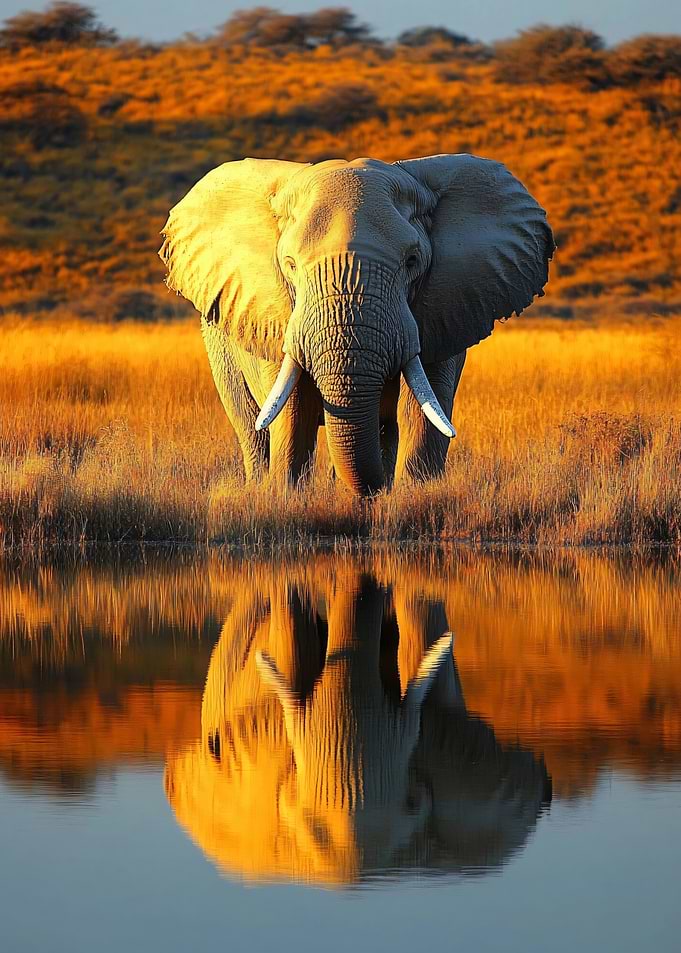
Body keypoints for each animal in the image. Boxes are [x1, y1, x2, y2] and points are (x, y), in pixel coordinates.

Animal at [160, 154, 554, 494]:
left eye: (412, 261)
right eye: (289, 264)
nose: (375, 491)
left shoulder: (445, 307)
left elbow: (422, 408)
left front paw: (414, 495)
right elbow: (292, 411)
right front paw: (285, 498)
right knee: (251, 426)